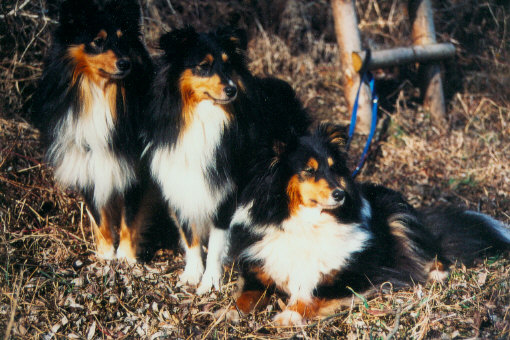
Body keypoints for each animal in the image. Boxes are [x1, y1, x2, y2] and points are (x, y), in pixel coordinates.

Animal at [33, 0, 177, 262]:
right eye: (97, 41)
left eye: (123, 39)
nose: (125, 64)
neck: (101, 91)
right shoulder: (87, 164)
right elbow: (99, 216)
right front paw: (106, 253)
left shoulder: (134, 168)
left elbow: (130, 217)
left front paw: (126, 257)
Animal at [144, 26, 310, 294]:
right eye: (203, 66)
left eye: (228, 65)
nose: (232, 90)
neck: (203, 116)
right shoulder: (180, 183)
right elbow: (189, 234)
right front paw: (192, 273)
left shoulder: (227, 192)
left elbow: (217, 240)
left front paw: (210, 280)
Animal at [228, 123, 510, 326]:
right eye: (309, 170)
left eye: (334, 168)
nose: (340, 194)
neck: (309, 223)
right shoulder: (260, 271)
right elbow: (245, 295)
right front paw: (230, 312)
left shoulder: (353, 276)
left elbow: (313, 293)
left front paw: (290, 315)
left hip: (397, 215)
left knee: (428, 252)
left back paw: (435, 273)